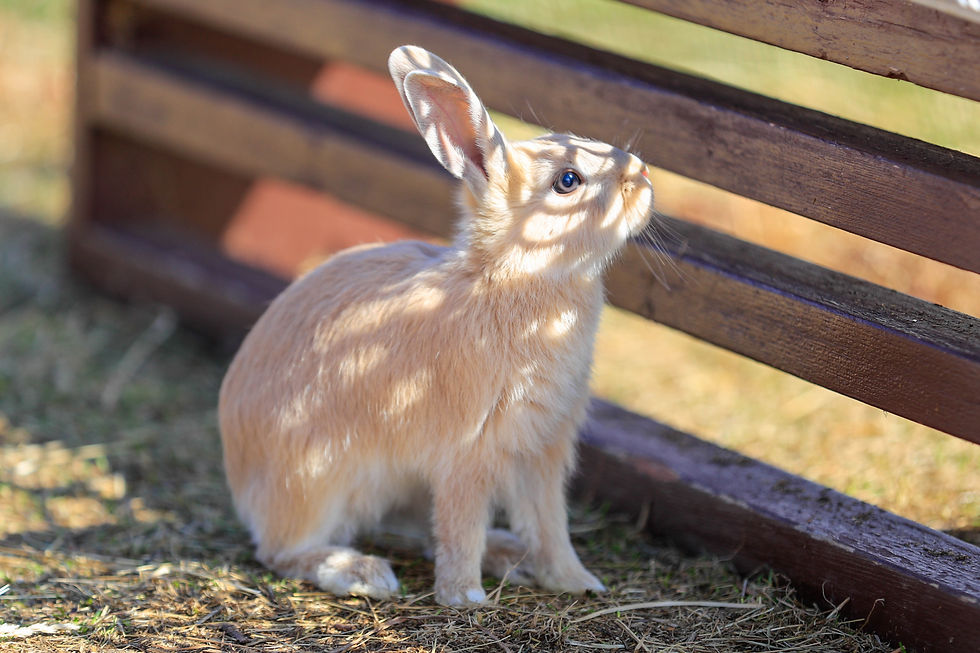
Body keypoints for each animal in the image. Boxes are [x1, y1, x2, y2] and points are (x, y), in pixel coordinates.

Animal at [218, 45, 655, 606]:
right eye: (568, 180)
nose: (643, 178)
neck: (513, 275)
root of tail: (242, 479)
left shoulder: (543, 450)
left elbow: (550, 524)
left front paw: (576, 581)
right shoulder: (468, 450)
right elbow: (461, 524)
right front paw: (465, 597)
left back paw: (508, 553)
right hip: (314, 479)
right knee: (283, 550)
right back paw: (363, 573)